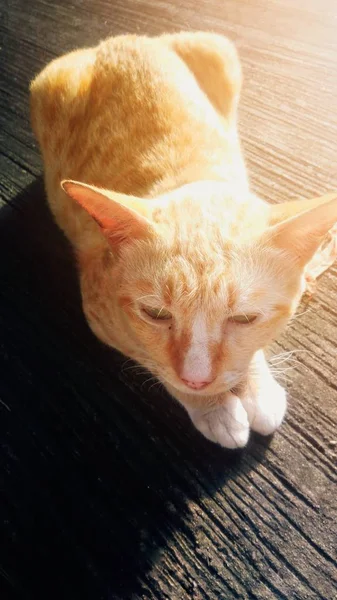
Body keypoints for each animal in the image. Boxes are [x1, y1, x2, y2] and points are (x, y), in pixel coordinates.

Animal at [30, 31, 336, 446]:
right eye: (156, 314)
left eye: (244, 318)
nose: (197, 378)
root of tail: (122, 38)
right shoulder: (100, 316)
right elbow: (155, 361)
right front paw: (216, 408)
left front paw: (254, 386)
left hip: (218, 51)